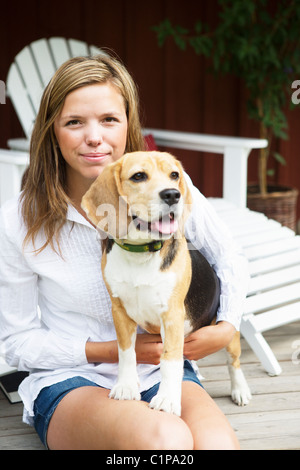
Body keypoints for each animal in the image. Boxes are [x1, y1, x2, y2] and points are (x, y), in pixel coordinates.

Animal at [81, 151, 251, 414]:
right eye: (138, 176)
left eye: (174, 175)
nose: (172, 194)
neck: (140, 253)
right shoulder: (119, 311)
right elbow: (126, 352)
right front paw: (126, 386)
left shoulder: (171, 316)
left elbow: (170, 359)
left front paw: (167, 399)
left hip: (229, 334)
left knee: (234, 361)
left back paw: (239, 389)